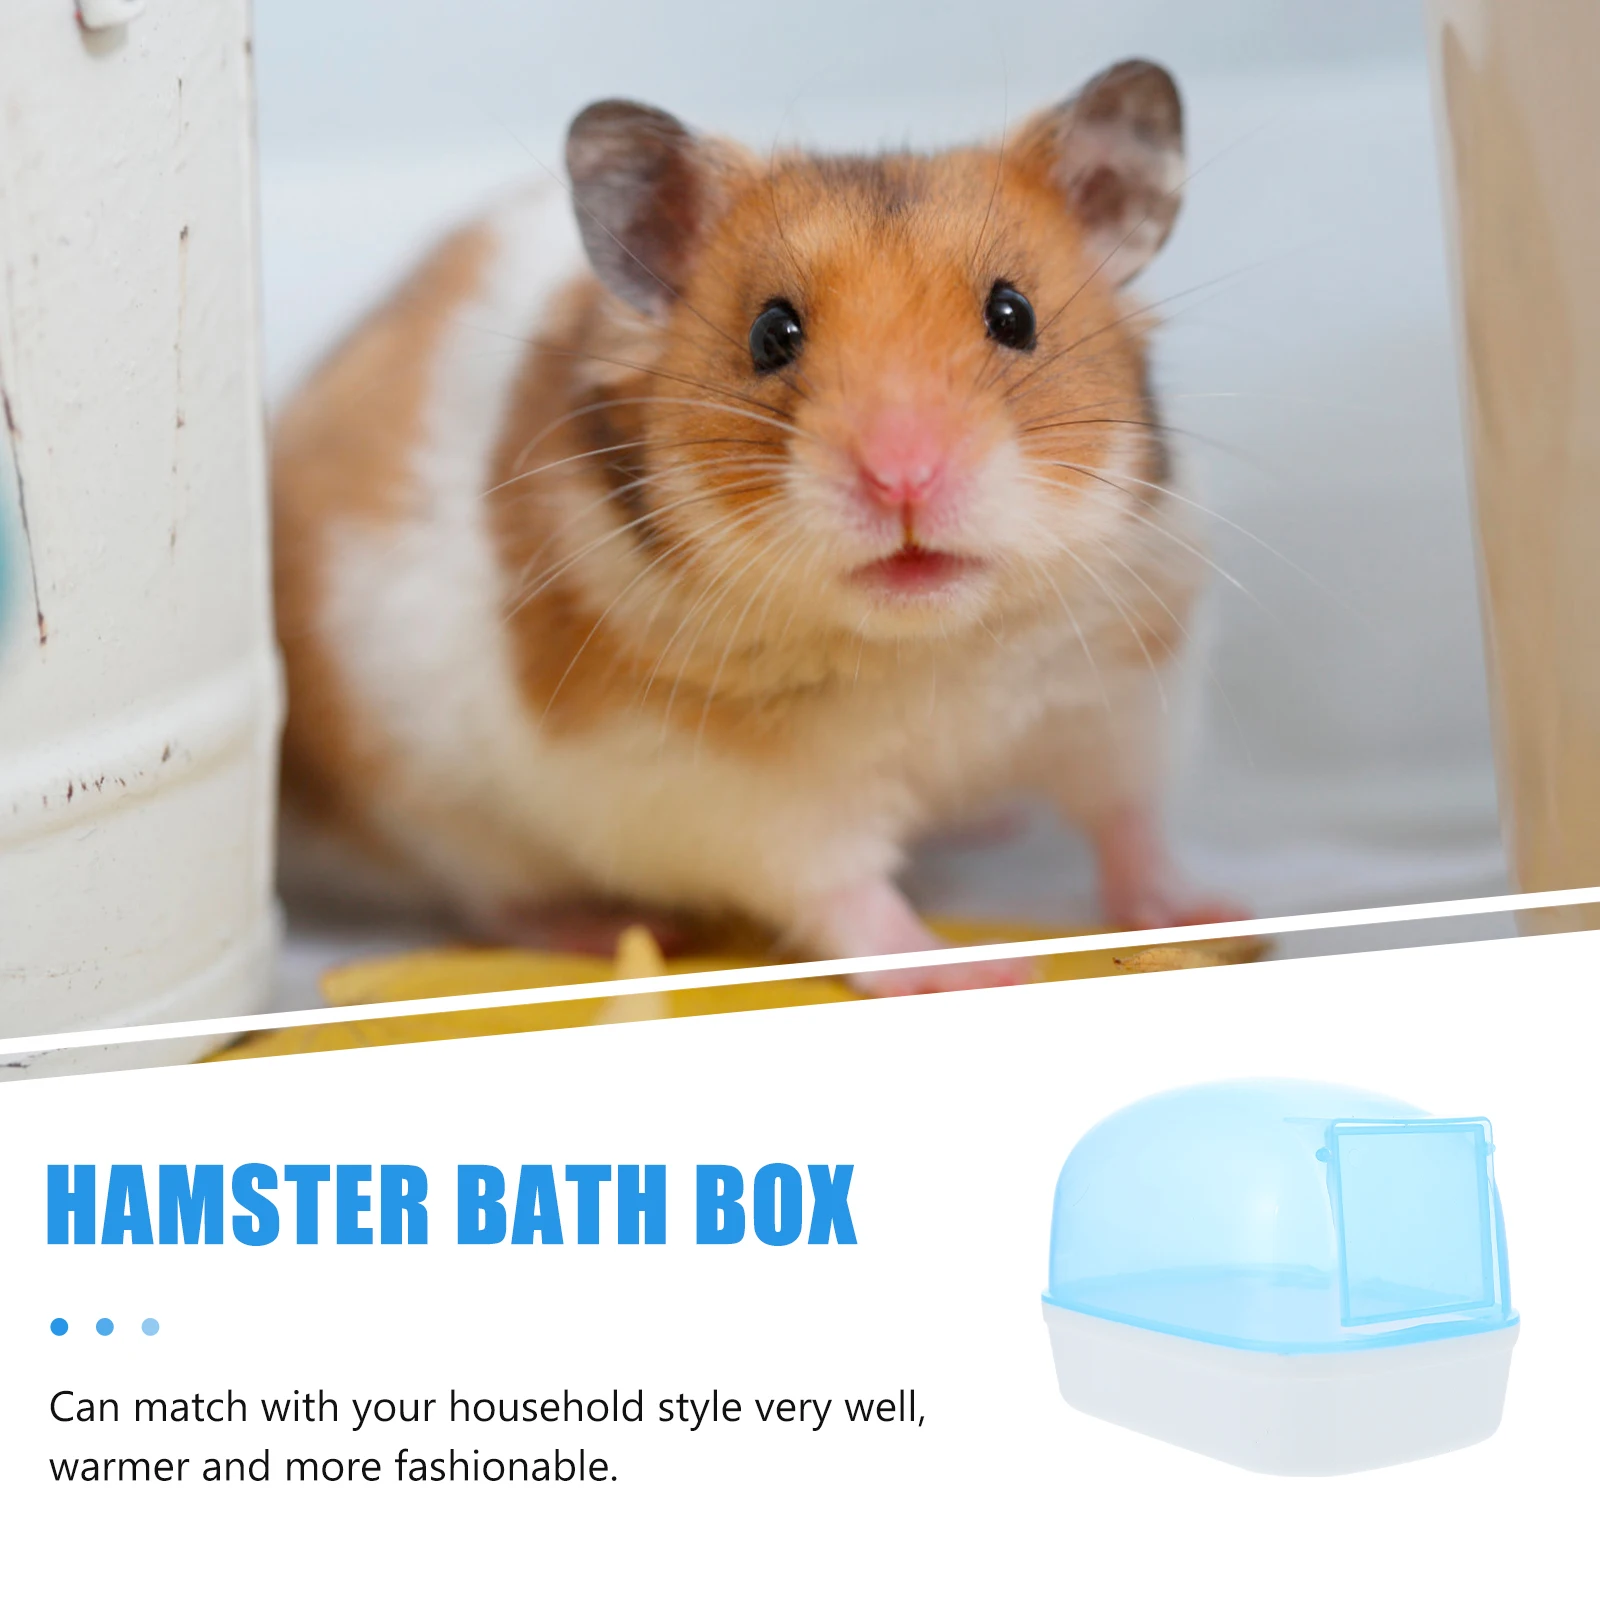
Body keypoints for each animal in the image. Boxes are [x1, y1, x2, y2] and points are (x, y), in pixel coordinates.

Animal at [271, 58, 1241, 996]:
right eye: (772, 334)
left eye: (1015, 315)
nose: (904, 477)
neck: (933, 647)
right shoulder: (737, 795)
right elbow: (843, 891)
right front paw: (975, 970)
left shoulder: (1123, 693)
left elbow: (1128, 821)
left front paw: (1206, 914)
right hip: (427, 805)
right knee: (490, 895)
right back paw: (610, 929)